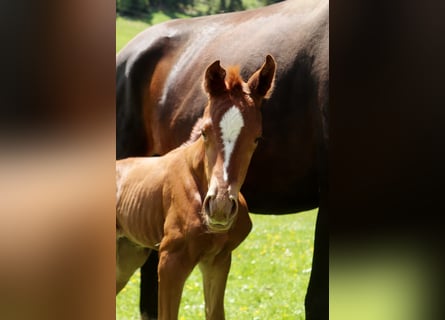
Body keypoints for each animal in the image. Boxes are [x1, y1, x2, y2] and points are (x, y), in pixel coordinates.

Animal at [115, 55, 274, 320]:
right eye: (204, 132)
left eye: (257, 138)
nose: (220, 207)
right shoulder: (170, 260)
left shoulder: (218, 260)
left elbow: (215, 313)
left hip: (127, 255)